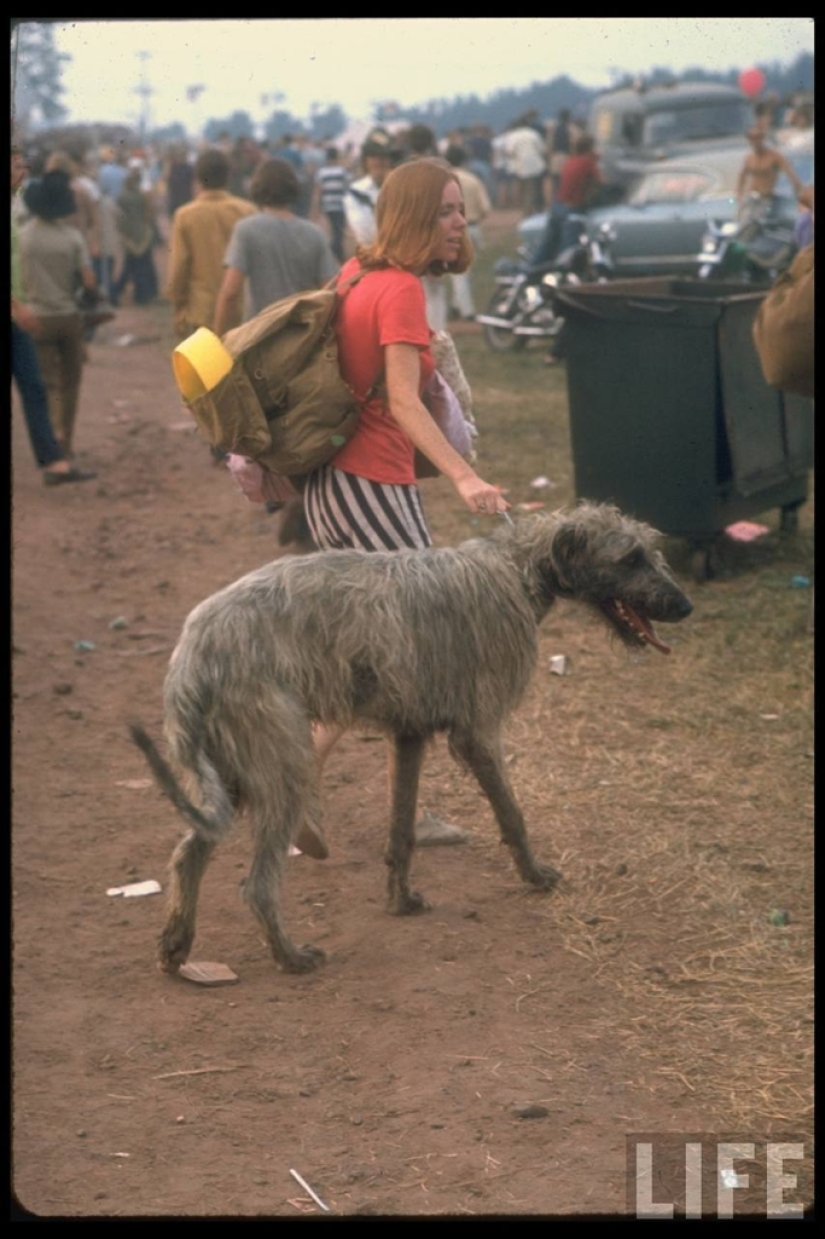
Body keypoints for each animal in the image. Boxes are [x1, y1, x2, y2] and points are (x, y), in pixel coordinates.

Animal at [133, 503, 688, 976]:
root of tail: (191, 653)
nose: (685, 606)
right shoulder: (477, 733)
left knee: (188, 854)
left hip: (229, 772)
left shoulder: (409, 735)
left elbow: (401, 832)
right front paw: (534, 875)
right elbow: (512, 814)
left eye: (652, 550)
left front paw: (400, 899)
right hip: (279, 760)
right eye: (630, 557)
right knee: (258, 885)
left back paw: (176, 945)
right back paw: (290, 956)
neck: (517, 569)